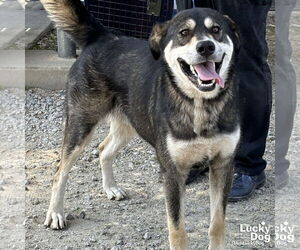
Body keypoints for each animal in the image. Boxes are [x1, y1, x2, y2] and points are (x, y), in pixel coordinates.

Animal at [41, 0, 240, 249]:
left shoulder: (223, 164)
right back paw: (55, 213)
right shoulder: (172, 173)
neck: (200, 104)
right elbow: (178, 230)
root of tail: (104, 37)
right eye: (184, 33)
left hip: (129, 123)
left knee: (103, 149)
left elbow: (217, 224)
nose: (206, 47)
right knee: (60, 171)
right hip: (81, 125)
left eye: (216, 30)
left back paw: (111, 188)